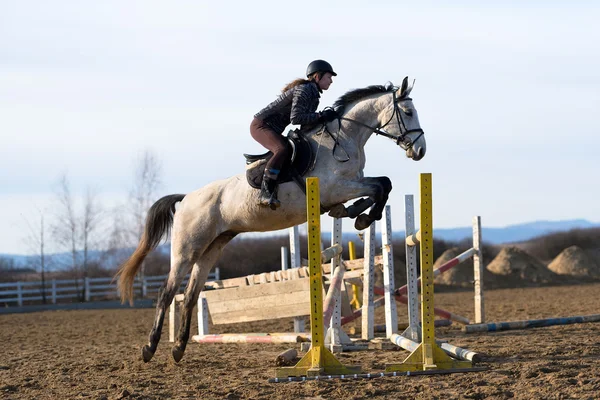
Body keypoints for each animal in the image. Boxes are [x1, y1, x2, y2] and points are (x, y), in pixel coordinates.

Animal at [116, 75, 426, 362]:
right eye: (408, 112)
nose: (420, 151)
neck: (344, 138)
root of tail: (184, 199)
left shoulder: (349, 186)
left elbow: (381, 185)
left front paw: (356, 214)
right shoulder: (337, 188)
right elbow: (380, 186)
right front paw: (362, 217)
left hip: (211, 248)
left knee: (191, 295)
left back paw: (179, 349)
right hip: (187, 249)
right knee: (167, 293)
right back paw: (149, 348)